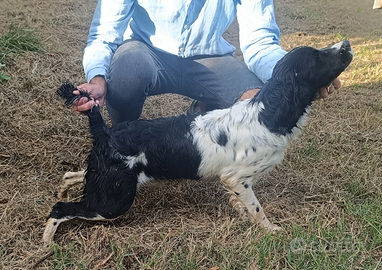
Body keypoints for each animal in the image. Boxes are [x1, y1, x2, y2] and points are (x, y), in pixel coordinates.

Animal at [42, 40, 352, 245]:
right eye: (318, 56)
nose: (346, 44)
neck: (268, 113)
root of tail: (106, 131)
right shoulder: (237, 178)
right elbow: (257, 209)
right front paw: (271, 229)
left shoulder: (238, 183)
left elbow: (245, 206)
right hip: (113, 202)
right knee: (60, 209)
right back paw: (47, 242)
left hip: (106, 184)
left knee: (72, 175)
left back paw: (63, 189)